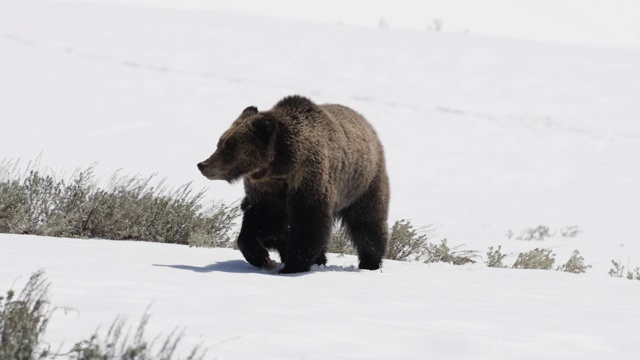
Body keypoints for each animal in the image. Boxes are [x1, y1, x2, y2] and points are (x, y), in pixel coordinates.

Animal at [198, 95, 390, 272]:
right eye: (220, 142)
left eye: (229, 146)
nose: (203, 165)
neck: (280, 168)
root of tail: (367, 125)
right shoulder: (266, 190)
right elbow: (260, 221)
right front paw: (264, 258)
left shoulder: (308, 178)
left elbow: (309, 223)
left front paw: (292, 265)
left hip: (363, 183)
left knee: (367, 223)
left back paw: (370, 262)